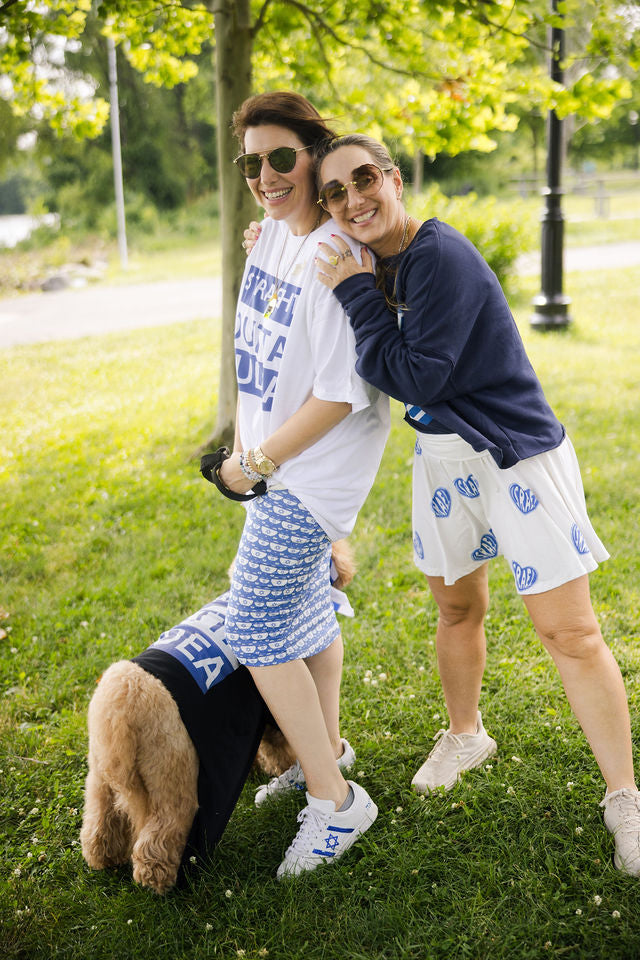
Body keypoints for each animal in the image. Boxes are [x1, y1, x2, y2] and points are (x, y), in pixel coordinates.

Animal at [80, 540, 356, 892]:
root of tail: (120, 711)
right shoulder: (266, 707)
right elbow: (278, 745)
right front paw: (282, 770)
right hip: (175, 780)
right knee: (160, 837)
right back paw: (159, 881)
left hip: (100, 779)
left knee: (100, 824)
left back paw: (103, 858)